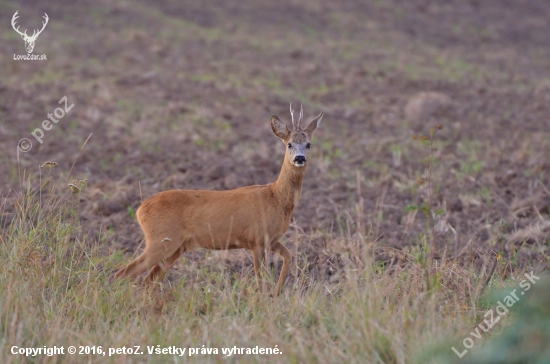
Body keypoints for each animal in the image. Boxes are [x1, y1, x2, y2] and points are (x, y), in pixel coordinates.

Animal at [116, 104, 324, 296]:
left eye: (308, 144)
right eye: (289, 144)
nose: (299, 158)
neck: (276, 198)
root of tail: (141, 209)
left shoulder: (271, 240)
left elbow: (288, 256)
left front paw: (277, 292)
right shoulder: (256, 238)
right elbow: (261, 279)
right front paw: (266, 298)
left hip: (175, 247)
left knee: (147, 280)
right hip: (161, 240)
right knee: (124, 273)